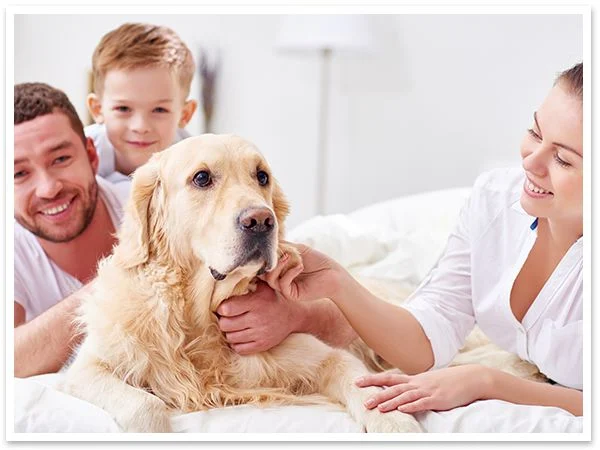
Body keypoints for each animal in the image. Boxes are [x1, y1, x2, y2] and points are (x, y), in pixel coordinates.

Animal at [58, 134, 420, 432]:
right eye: (202, 178)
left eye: (262, 176)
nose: (260, 221)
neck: (200, 320)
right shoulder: (84, 369)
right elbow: (145, 405)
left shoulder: (325, 357)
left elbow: (364, 385)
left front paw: (398, 424)